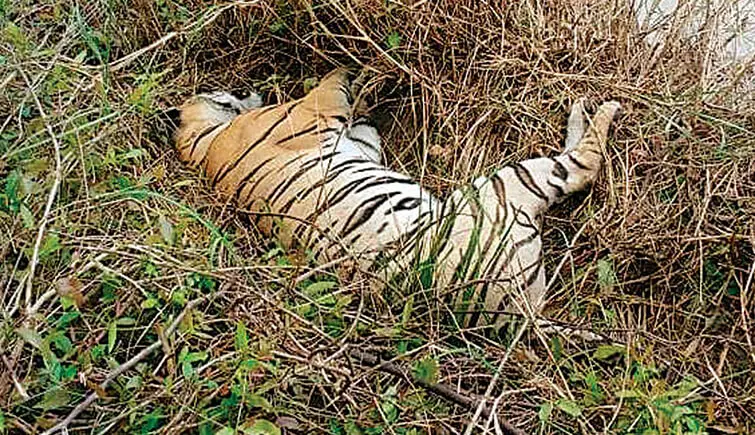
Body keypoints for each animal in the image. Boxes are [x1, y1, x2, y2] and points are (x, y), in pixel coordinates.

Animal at [174, 69, 621, 337]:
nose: (247, 86)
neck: (203, 144)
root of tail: (523, 318)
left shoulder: (357, 144)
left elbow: (362, 127)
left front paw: (370, 100)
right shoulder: (308, 111)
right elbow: (331, 84)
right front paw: (358, 73)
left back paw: (582, 107)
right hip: (503, 188)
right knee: (584, 164)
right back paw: (603, 109)